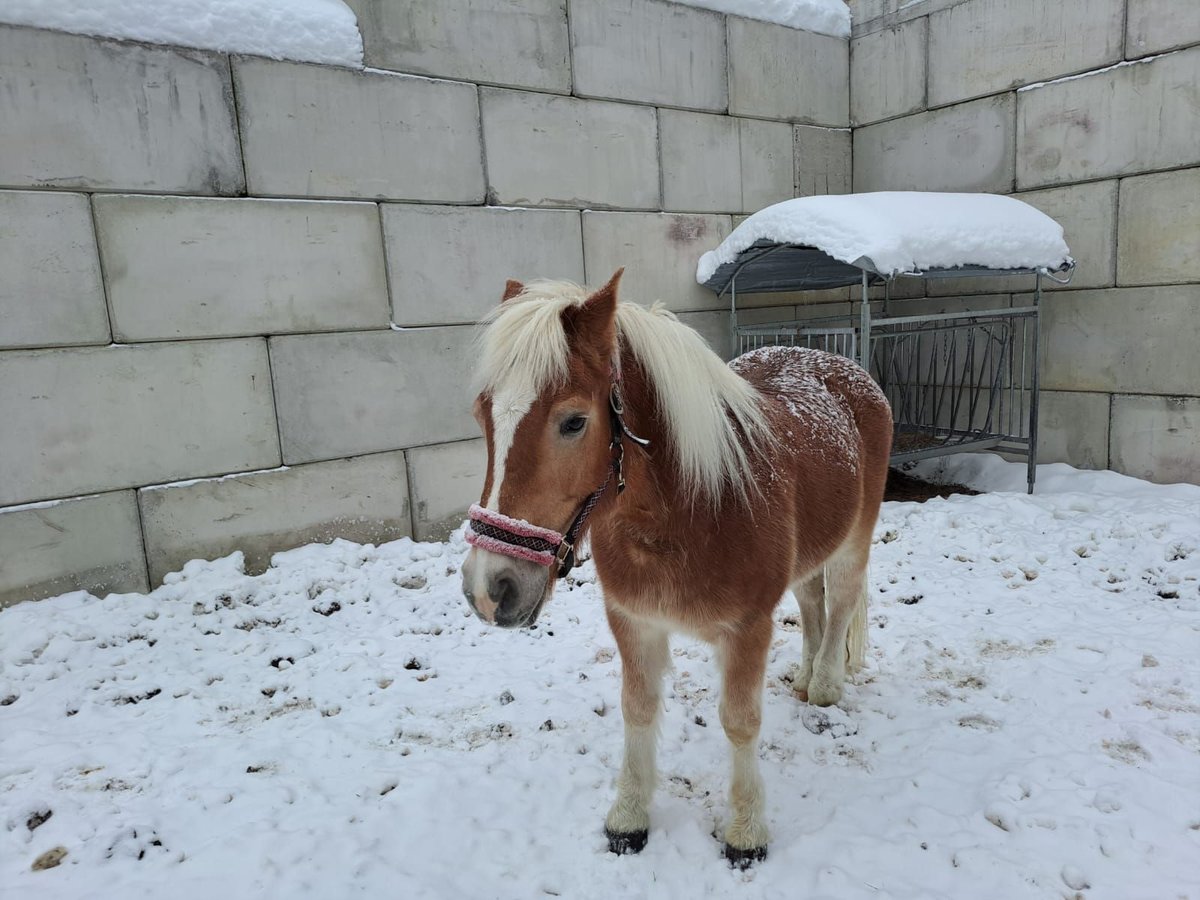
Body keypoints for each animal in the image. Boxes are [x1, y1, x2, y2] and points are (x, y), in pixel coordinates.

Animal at [458, 270, 892, 868]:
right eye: (483, 414)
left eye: (573, 422)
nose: (489, 588)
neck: (691, 510)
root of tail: (843, 368)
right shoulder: (632, 622)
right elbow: (637, 710)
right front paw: (629, 818)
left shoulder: (746, 631)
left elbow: (740, 722)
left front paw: (746, 834)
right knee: (811, 602)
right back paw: (805, 677)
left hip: (853, 540)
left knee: (843, 597)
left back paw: (825, 684)